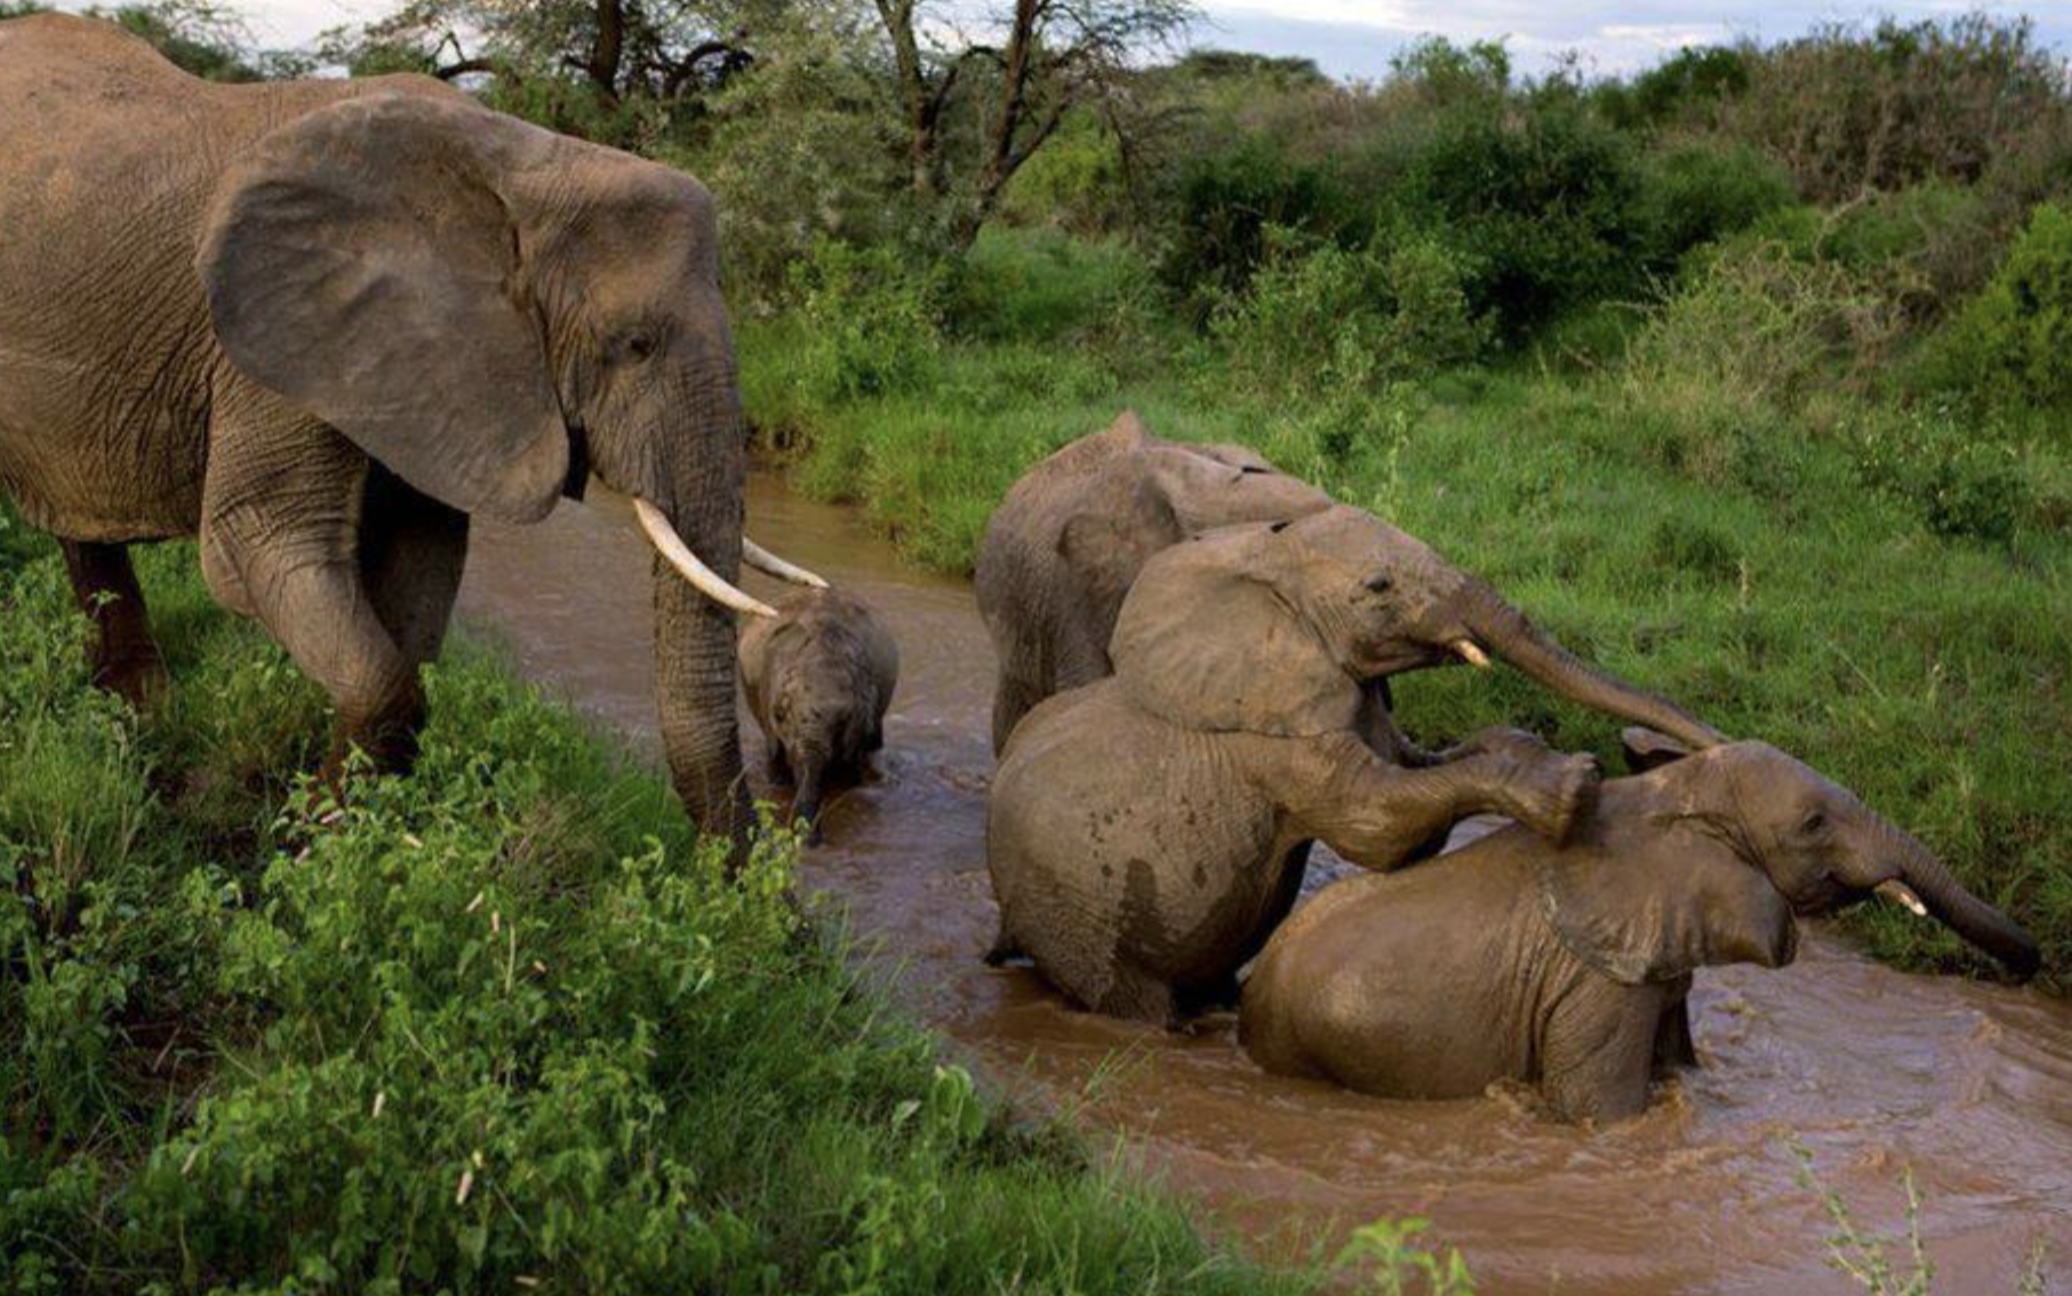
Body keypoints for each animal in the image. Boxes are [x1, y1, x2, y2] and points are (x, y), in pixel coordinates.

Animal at [0, 15, 820, 837]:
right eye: (635, 345)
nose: (749, 862)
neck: (525, 167)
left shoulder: (425, 367)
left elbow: (420, 567)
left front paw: (346, 820)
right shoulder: (280, 345)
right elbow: (260, 545)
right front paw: (316, 834)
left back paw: (140, 709)